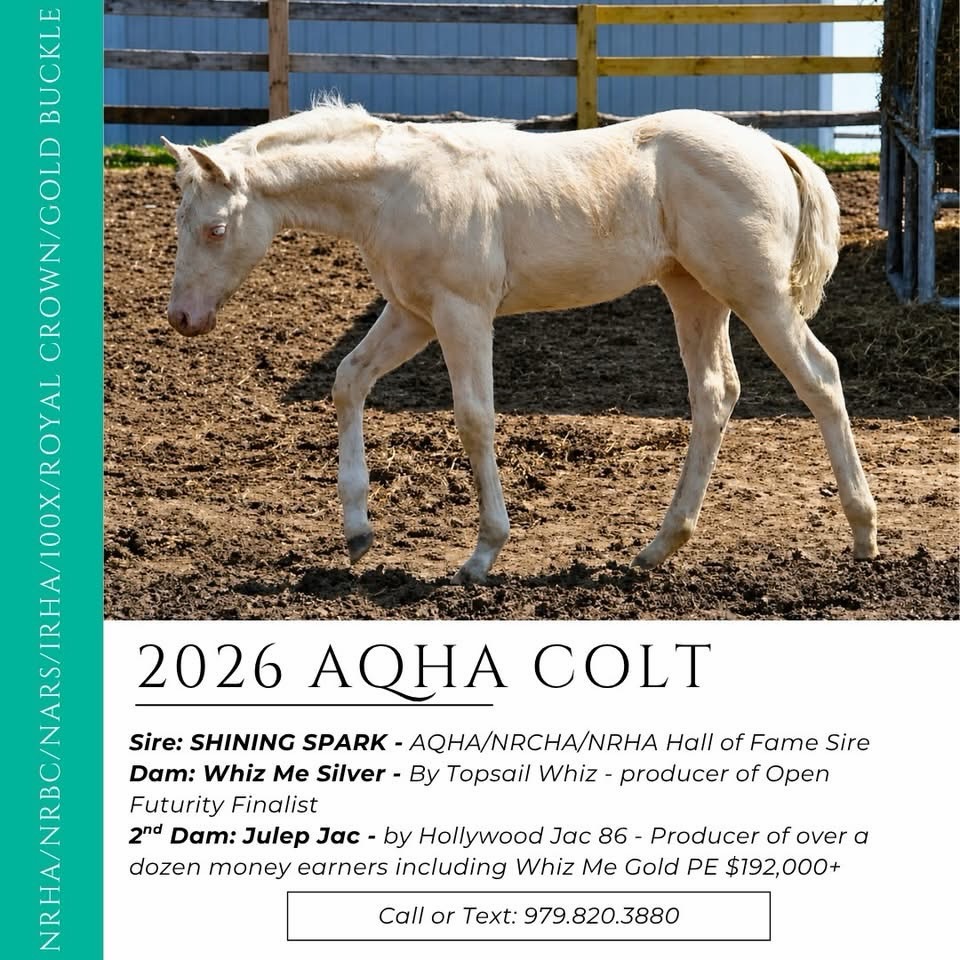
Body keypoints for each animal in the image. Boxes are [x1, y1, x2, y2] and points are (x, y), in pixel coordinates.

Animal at [161, 97, 878, 584]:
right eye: (179, 221)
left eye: (216, 229)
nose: (182, 318)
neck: (393, 188)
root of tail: (770, 147)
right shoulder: (412, 314)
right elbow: (347, 381)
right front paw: (359, 531)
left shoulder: (462, 313)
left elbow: (474, 418)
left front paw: (482, 554)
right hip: (693, 292)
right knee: (714, 393)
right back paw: (659, 546)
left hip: (756, 295)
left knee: (819, 376)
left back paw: (864, 533)